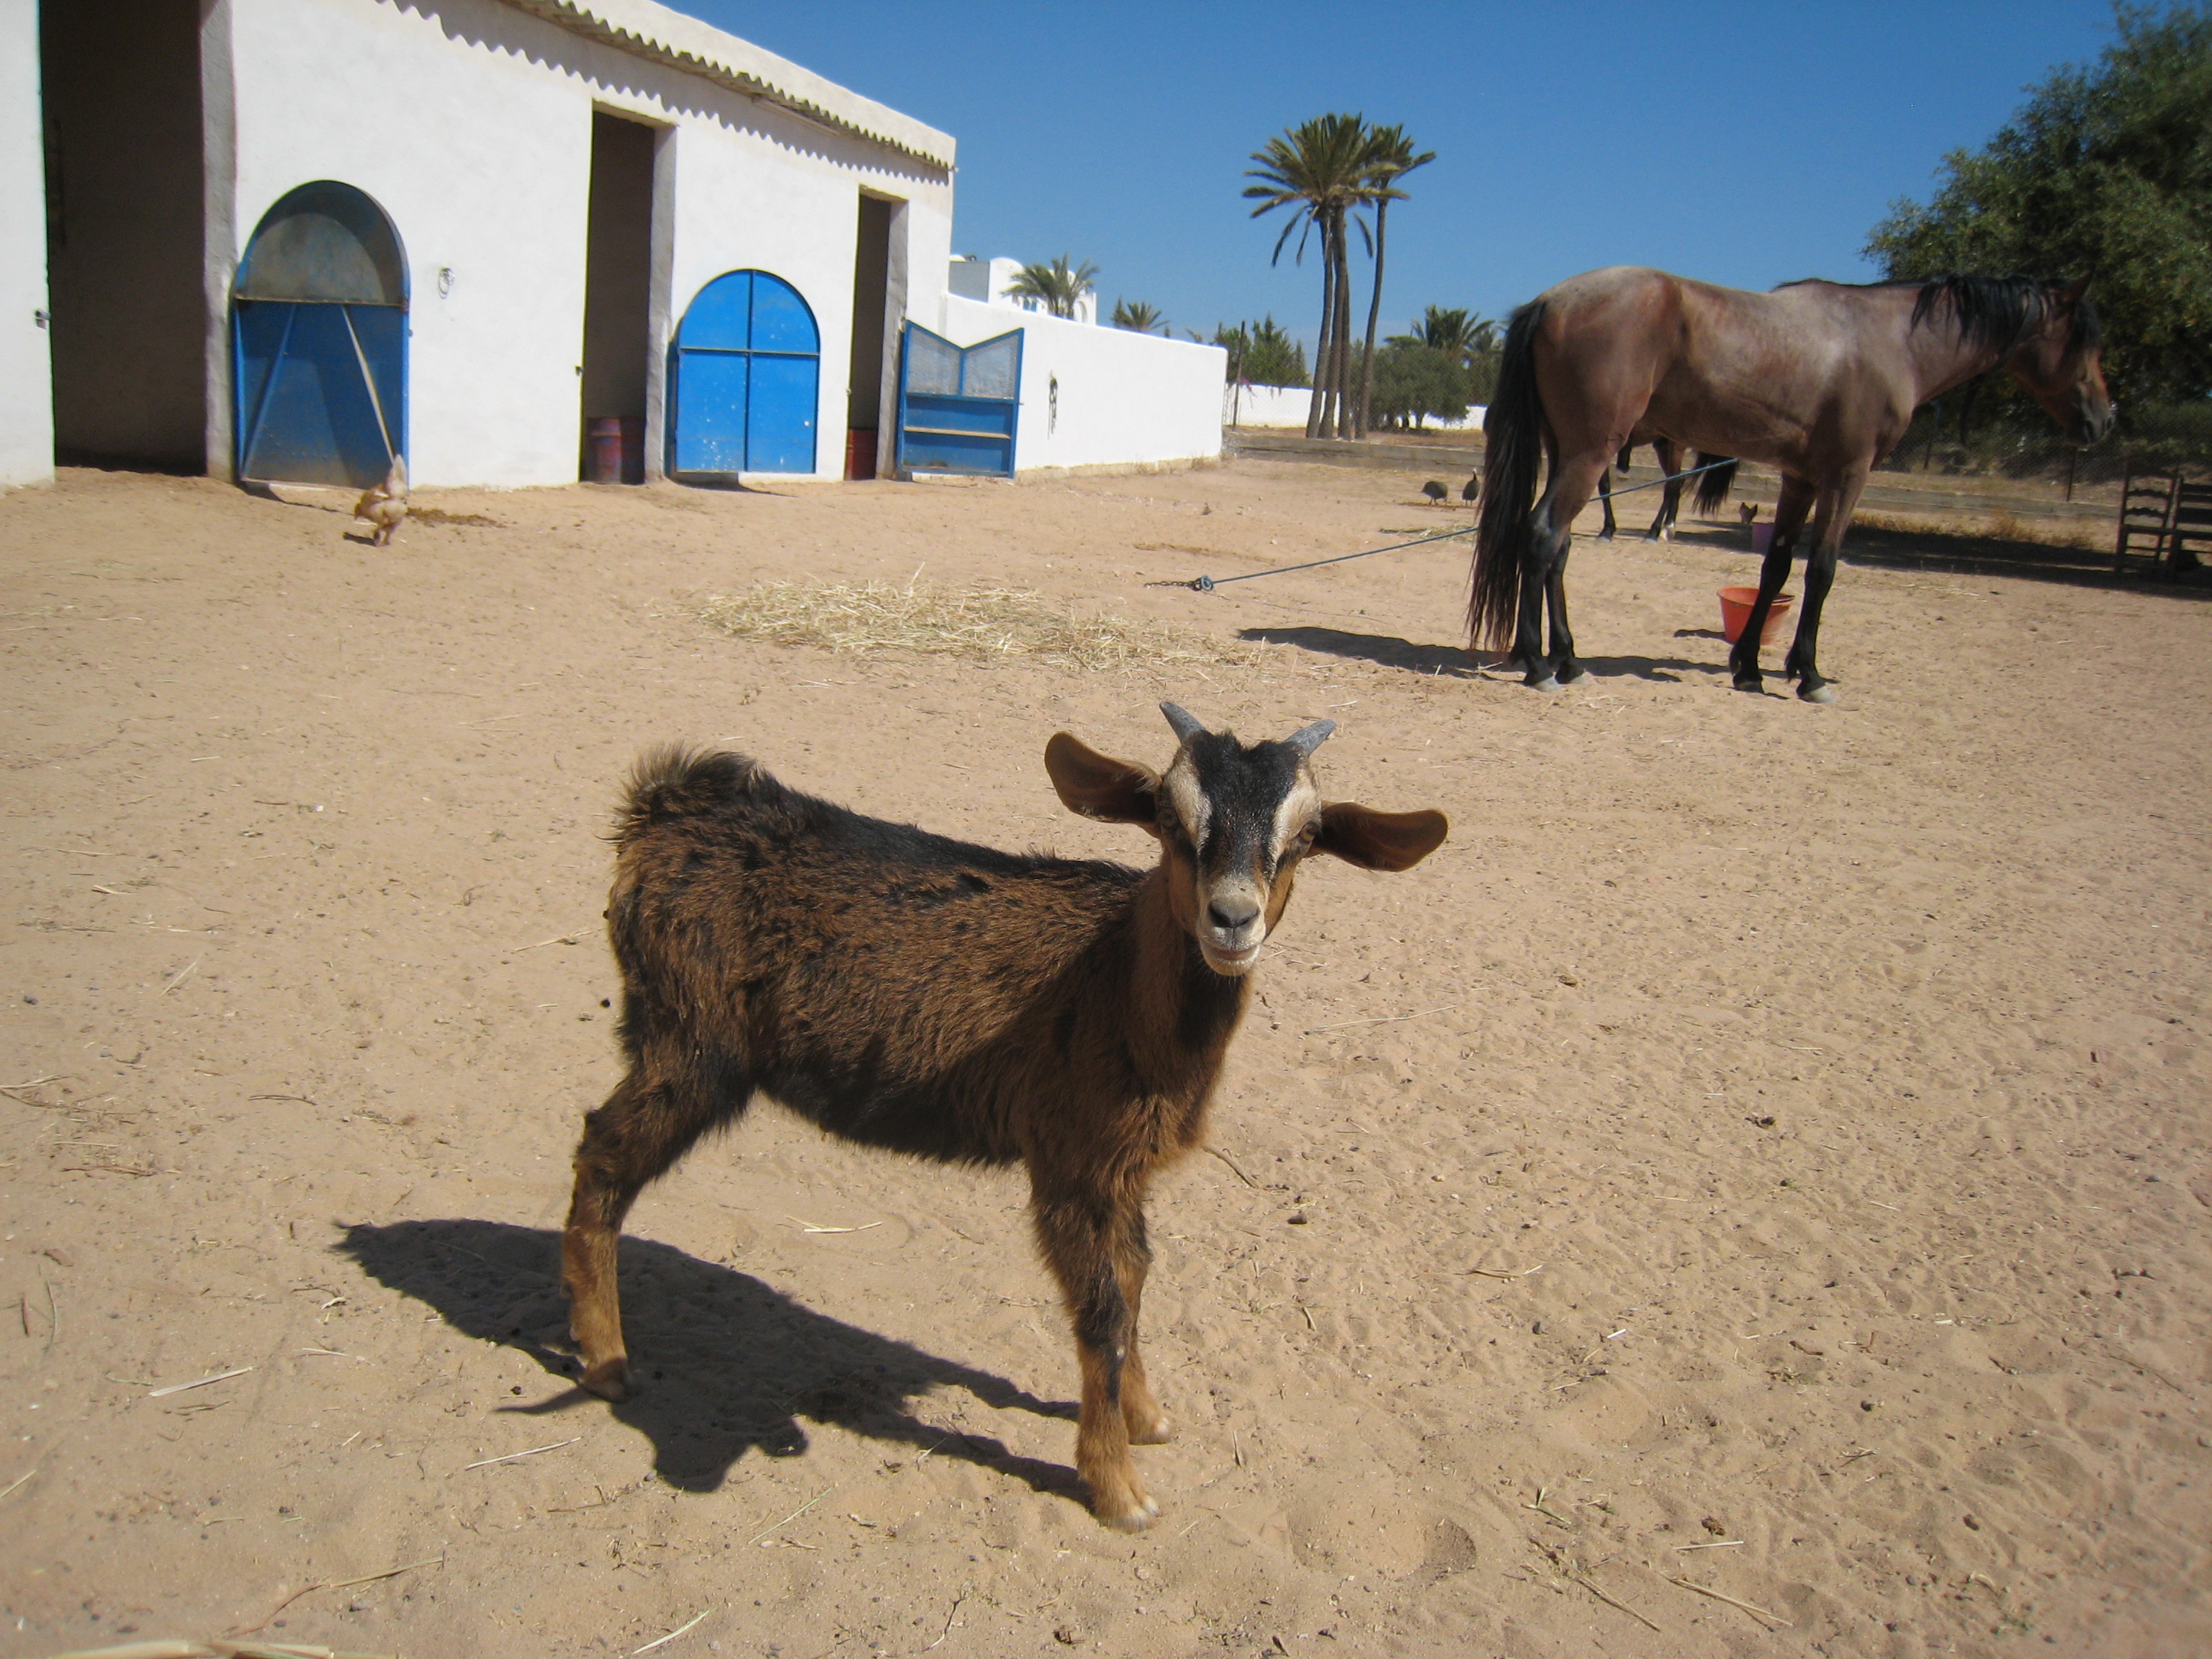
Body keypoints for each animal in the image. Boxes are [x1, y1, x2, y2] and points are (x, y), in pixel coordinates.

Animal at [562, 703, 1442, 1530]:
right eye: (1168, 816)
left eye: (1307, 836)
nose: (1231, 919)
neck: (1115, 981)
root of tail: (662, 811)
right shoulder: (1069, 1163)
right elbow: (1101, 1311)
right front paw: (1117, 1489)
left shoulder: (1124, 1169)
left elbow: (1135, 1279)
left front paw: (1145, 1417)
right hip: (690, 1046)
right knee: (602, 1152)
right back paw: (606, 1363)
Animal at [1468, 264, 2105, 703]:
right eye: (2085, 340)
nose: (2103, 419)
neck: (1889, 340)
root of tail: (1552, 300)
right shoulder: (1847, 476)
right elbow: (1822, 569)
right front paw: (1810, 675)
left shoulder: (1800, 478)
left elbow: (1775, 568)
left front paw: (1750, 668)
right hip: (1589, 454)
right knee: (1542, 536)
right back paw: (1540, 666)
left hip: (1568, 452)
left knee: (1559, 549)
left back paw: (1570, 660)